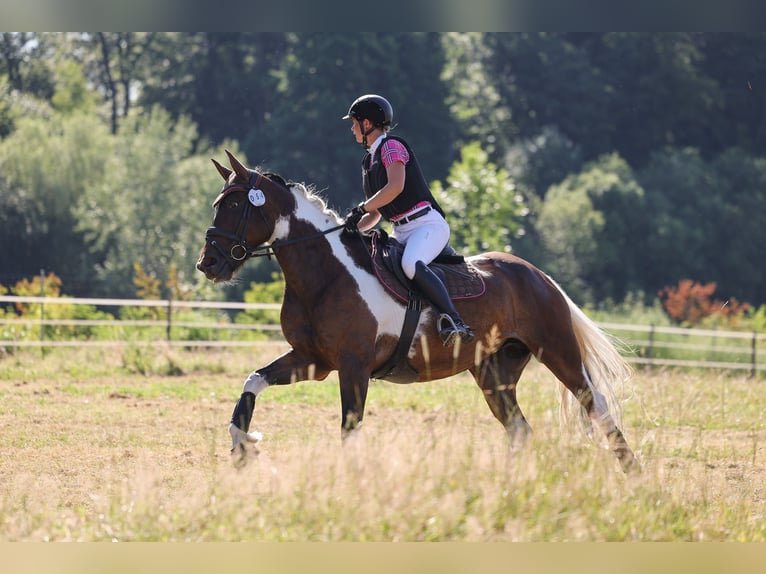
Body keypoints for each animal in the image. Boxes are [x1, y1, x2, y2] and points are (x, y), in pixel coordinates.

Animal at [196, 150, 638, 473]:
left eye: (235, 205)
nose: (208, 264)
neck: (325, 275)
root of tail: (538, 275)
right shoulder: (313, 360)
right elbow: (253, 382)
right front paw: (242, 446)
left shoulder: (353, 366)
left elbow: (350, 428)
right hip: (495, 373)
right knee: (519, 429)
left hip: (557, 350)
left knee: (596, 405)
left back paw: (632, 472)